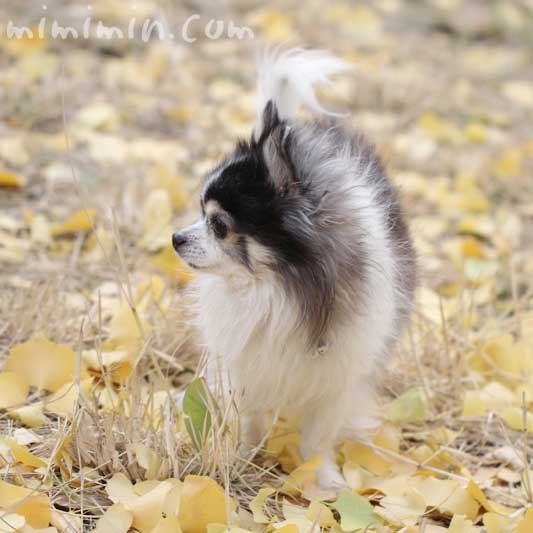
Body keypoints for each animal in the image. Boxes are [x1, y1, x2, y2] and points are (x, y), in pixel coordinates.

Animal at [171, 48, 416, 486]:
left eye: (219, 225)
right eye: (199, 211)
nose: (176, 238)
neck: (277, 290)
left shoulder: (337, 375)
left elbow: (317, 436)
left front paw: (322, 478)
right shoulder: (247, 363)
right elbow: (250, 418)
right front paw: (244, 459)